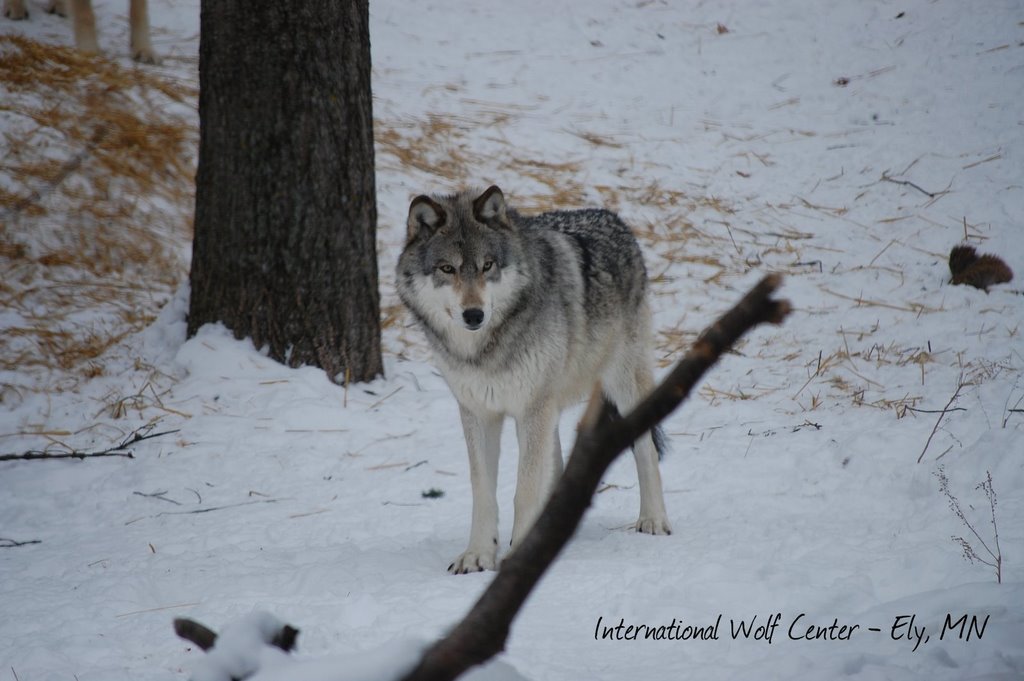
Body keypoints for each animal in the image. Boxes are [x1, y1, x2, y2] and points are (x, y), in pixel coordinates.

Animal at [3, 0, 156, 62]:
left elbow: (139, 12)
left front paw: (144, 50)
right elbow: (86, 15)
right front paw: (89, 51)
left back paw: (60, 6)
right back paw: (15, 7)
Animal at [397, 186, 671, 573]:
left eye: (488, 266)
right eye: (447, 269)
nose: (474, 315)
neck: (485, 350)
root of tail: (614, 218)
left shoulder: (531, 410)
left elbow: (524, 490)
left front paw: (517, 556)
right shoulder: (479, 413)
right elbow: (483, 491)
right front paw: (477, 555)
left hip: (621, 384)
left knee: (645, 448)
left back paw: (654, 520)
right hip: (551, 407)